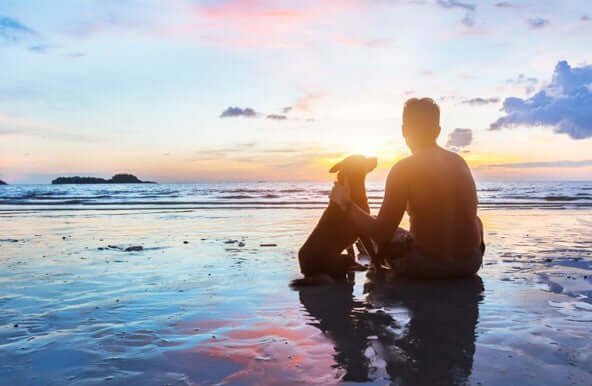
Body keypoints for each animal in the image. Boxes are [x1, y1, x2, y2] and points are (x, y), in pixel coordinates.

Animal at [292, 155, 380, 286]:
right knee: (343, 271)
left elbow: (351, 250)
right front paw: (378, 266)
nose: (376, 158)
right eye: (363, 158)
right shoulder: (363, 231)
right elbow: (371, 251)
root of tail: (311, 273)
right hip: (341, 259)